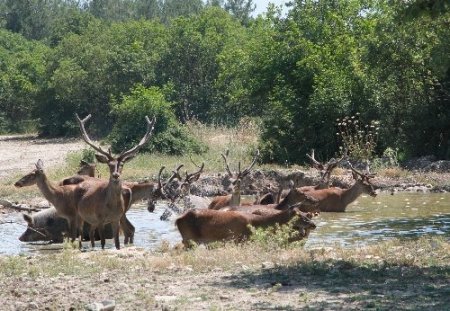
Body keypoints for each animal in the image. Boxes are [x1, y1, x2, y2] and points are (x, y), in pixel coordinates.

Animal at [74, 113, 156, 250]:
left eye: (121, 164)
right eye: (109, 165)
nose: (116, 175)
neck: (111, 206)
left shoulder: (116, 218)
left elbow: (117, 243)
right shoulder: (100, 218)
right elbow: (102, 242)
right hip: (80, 215)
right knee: (81, 235)